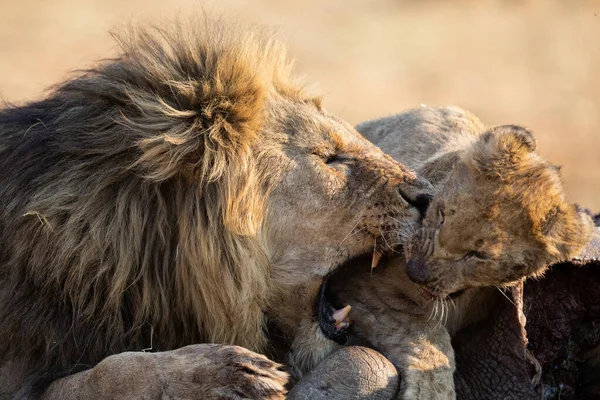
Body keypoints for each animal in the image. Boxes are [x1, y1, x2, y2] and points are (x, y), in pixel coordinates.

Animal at [318, 108, 596, 398]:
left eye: (478, 255)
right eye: (441, 214)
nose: (414, 271)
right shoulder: (360, 283)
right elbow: (427, 333)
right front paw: (431, 391)